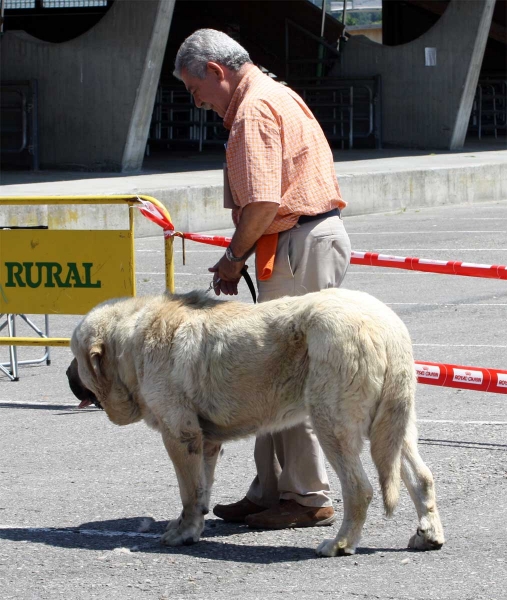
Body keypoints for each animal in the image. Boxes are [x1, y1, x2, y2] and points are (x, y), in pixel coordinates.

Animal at [66, 288, 444, 556]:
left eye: (75, 358)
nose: (66, 375)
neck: (130, 345)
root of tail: (387, 326)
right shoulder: (206, 441)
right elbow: (201, 488)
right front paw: (195, 524)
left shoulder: (180, 435)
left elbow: (188, 490)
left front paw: (181, 532)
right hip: (392, 426)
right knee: (421, 477)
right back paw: (428, 535)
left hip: (332, 423)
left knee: (359, 488)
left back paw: (339, 545)